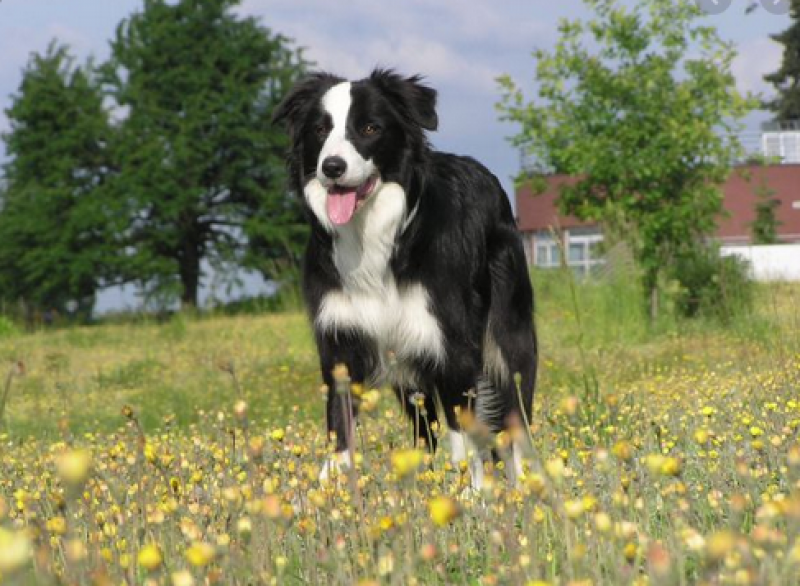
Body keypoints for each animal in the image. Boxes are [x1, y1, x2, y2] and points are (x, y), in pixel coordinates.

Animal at [274, 70, 536, 486]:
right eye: (320, 129)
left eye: (369, 127)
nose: (331, 167)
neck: (373, 235)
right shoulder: (343, 340)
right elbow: (340, 426)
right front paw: (329, 490)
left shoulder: (451, 346)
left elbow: (465, 434)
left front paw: (472, 492)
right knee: (424, 429)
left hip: (509, 334)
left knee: (515, 415)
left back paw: (524, 483)